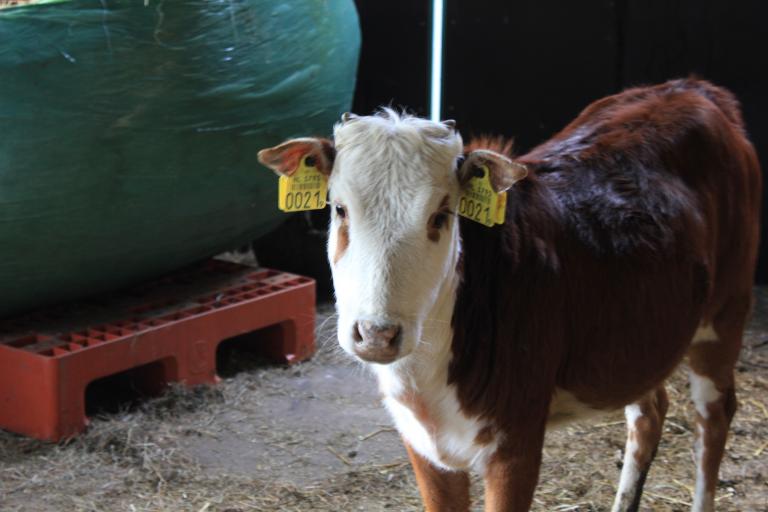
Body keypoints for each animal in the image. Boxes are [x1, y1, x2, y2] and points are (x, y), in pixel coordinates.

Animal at [260, 78, 760, 510]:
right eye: (340, 209)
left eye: (441, 215)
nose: (377, 334)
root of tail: (692, 88)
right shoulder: (423, 445)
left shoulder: (516, 444)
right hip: (642, 334)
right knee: (649, 412)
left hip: (727, 311)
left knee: (714, 419)